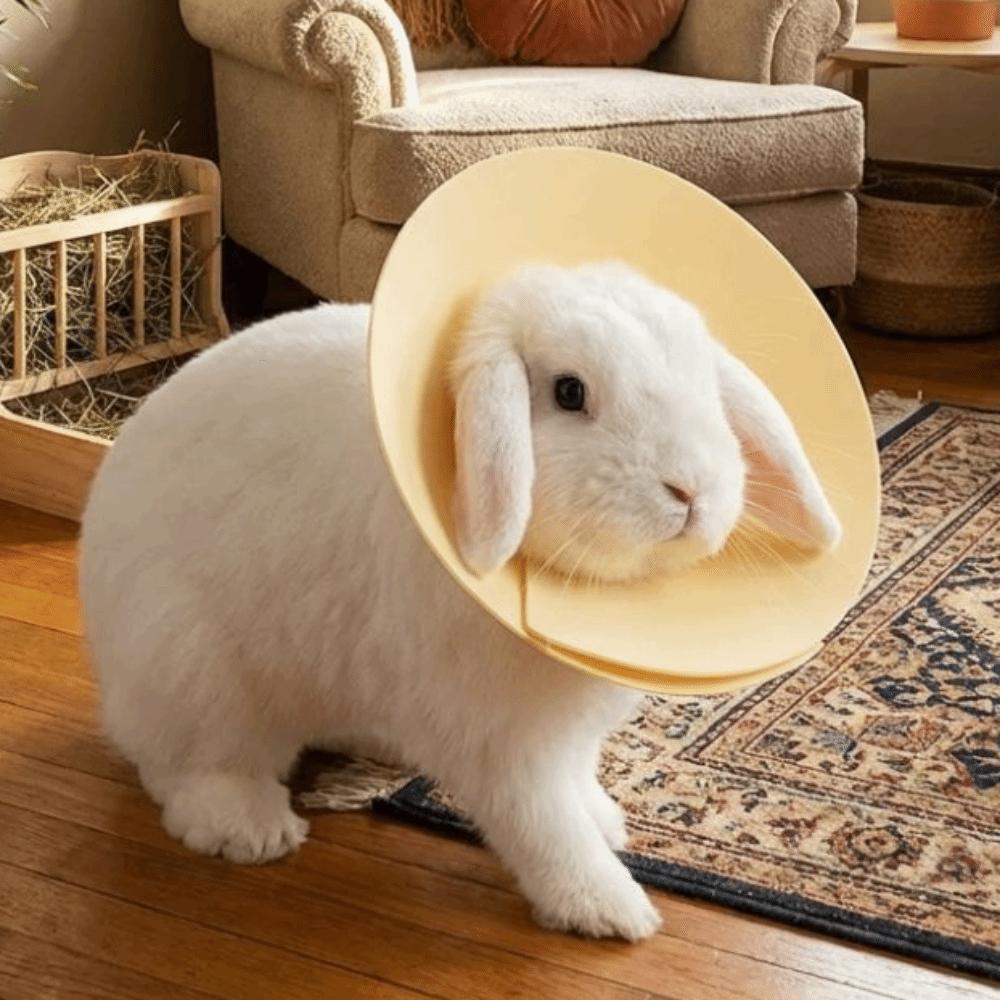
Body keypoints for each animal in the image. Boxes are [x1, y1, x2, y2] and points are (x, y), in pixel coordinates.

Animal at [79, 261, 840, 942]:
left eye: (705, 386)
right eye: (569, 392)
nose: (691, 490)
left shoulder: (565, 737)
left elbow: (577, 786)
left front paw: (608, 822)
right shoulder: (499, 743)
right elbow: (544, 826)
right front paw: (610, 909)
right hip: (195, 670)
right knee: (186, 768)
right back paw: (249, 828)